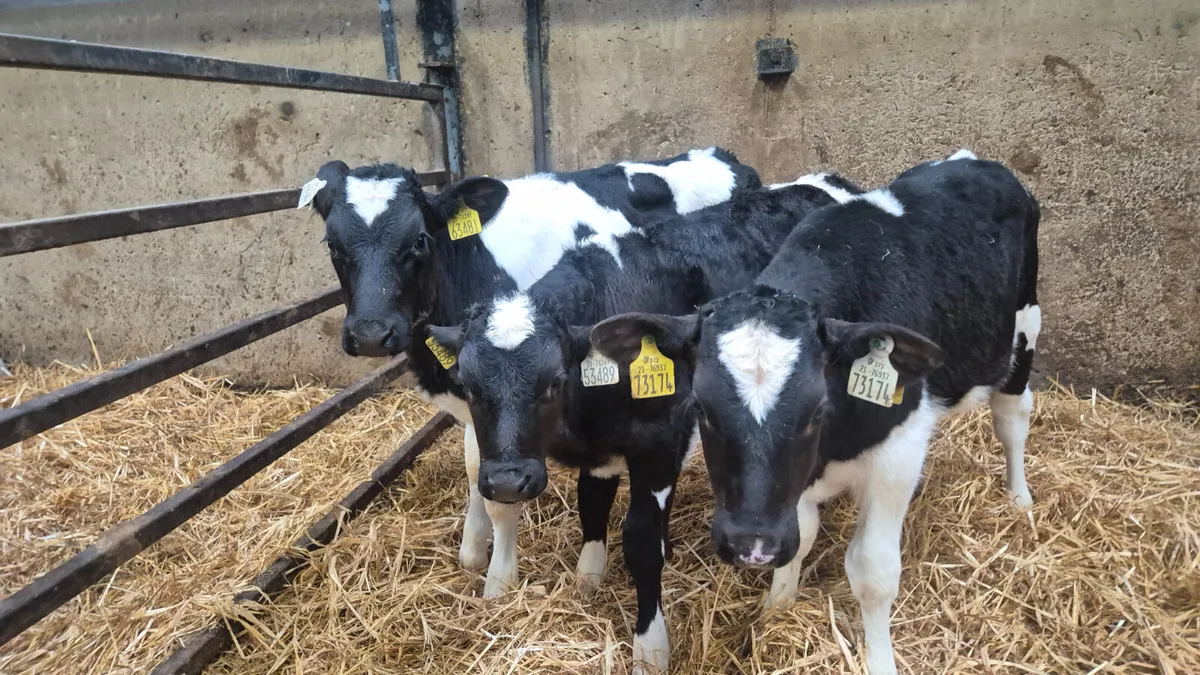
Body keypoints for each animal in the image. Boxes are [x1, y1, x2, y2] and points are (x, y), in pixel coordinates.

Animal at [298, 148, 760, 600]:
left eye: (419, 240)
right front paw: (473, 547)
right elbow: (474, 469)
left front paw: (499, 580)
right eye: (332, 244)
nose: (371, 334)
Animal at [423, 174, 863, 673]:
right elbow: (591, 503)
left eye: (554, 381)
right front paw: (588, 577)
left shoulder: (659, 443)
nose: (508, 481)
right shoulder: (599, 449)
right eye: (467, 383)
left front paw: (650, 646)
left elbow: (641, 541)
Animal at [591, 151, 1040, 675]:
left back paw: (1019, 496)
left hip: (1024, 331)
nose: (750, 543)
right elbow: (801, 536)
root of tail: (976, 161)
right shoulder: (792, 486)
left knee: (1012, 418)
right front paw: (775, 609)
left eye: (816, 409)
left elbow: (873, 572)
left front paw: (879, 660)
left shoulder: (897, 455)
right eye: (701, 407)